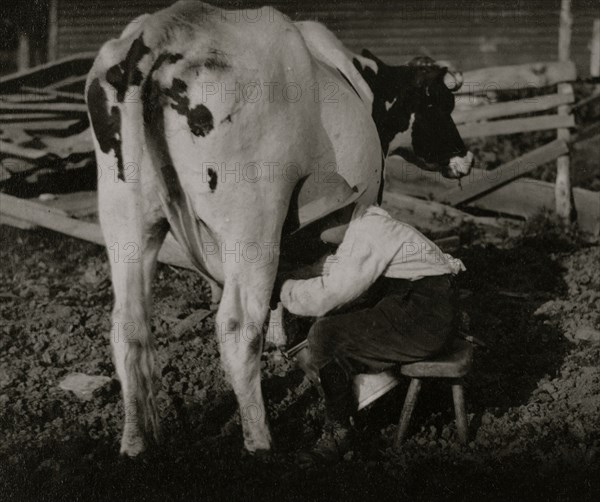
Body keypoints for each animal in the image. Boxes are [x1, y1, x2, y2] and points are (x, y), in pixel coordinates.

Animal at [85, 0, 474, 454]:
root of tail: (162, 29)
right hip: (252, 222)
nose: (466, 157)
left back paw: (135, 444)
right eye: (440, 104)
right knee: (237, 328)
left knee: (127, 327)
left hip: (126, 219)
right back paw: (261, 442)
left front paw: (280, 335)